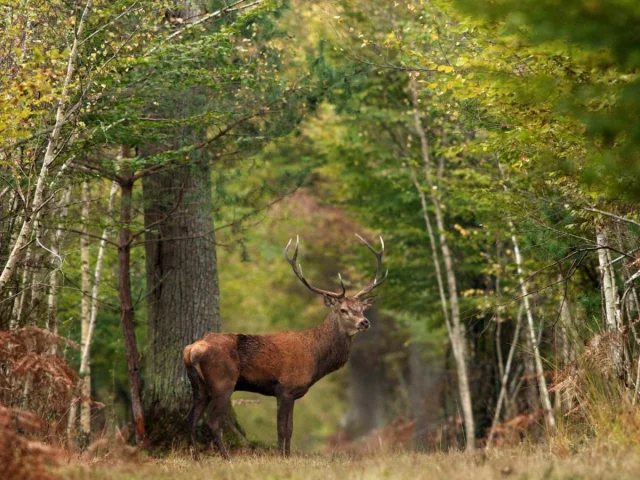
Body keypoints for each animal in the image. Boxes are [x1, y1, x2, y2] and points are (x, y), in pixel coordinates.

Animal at [182, 234, 387, 458]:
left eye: (361, 309)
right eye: (343, 310)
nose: (365, 322)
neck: (316, 357)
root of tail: (191, 350)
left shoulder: (294, 393)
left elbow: (290, 429)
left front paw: (287, 455)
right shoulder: (285, 388)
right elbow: (282, 429)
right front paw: (281, 456)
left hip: (199, 386)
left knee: (190, 419)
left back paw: (196, 457)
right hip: (223, 382)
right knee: (211, 422)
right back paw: (226, 457)